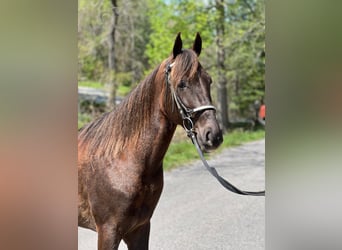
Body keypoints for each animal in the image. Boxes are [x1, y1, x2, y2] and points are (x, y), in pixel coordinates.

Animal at [78, 32, 223, 248]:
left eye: (209, 81)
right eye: (182, 83)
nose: (213, 135)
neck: (122, 160)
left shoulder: (140, 228)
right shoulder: (108, 232)